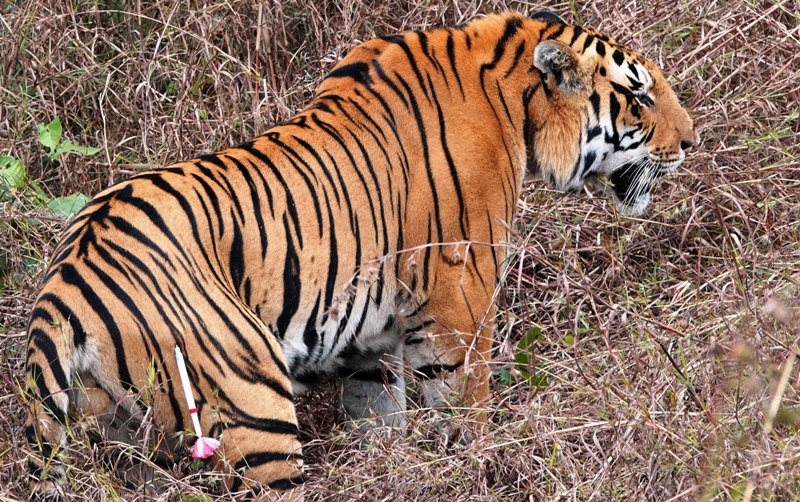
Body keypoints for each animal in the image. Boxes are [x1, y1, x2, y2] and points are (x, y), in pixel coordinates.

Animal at [24, 10, 697, 498]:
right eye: (640, 97)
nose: (692, 141)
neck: (514, 95)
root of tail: (64, 289)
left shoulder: (369, 339)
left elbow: (379, 416)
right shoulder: (459, 304)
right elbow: (465, 406)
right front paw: (477, 464)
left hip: (115, 435)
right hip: (251, 404)